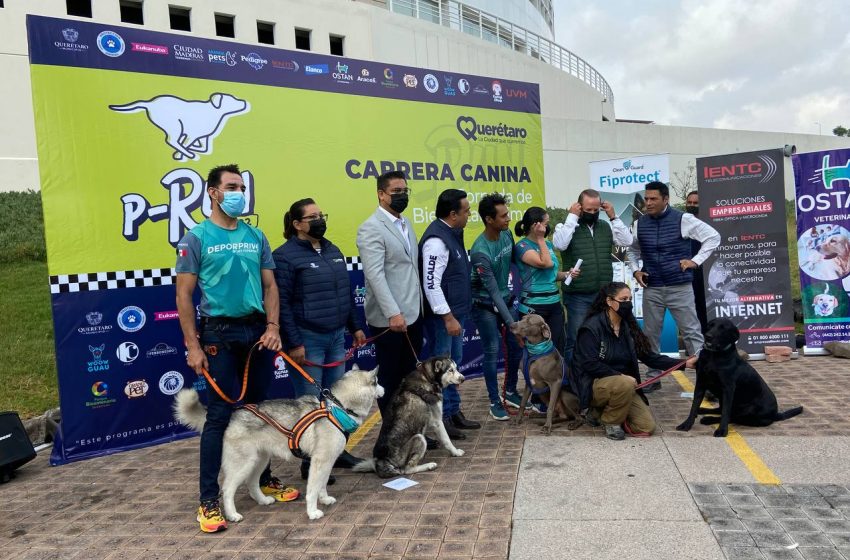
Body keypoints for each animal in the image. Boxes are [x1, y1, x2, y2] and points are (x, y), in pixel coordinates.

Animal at [176, 368, 380, 520]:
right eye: (376, 382)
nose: (383, 389)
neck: (338, 409)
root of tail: (232, 415)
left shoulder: (327, 462)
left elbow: (322, 485)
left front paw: (324, 499)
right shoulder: (319, 462)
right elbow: (313, 489)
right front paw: (312, 511)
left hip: (260, 461)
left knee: (252, 483)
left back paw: (263, 500)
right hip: (243, 464)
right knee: (227, 490)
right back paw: (232, 515)